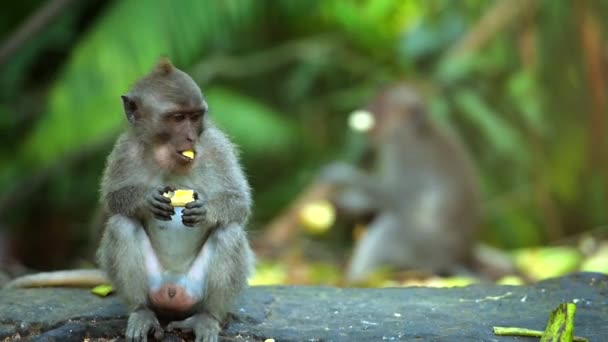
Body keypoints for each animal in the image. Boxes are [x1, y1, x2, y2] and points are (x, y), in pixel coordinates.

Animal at [324, 83, 480, 284]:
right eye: (374, 102)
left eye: (379, 105)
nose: (366, 108)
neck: (417, 130)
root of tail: (453, 258)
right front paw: (351, 202)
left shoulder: (401, 150)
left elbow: (397, 197)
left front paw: (344, 176)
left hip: (425, 249)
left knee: (390, 230)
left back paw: (356, 279)